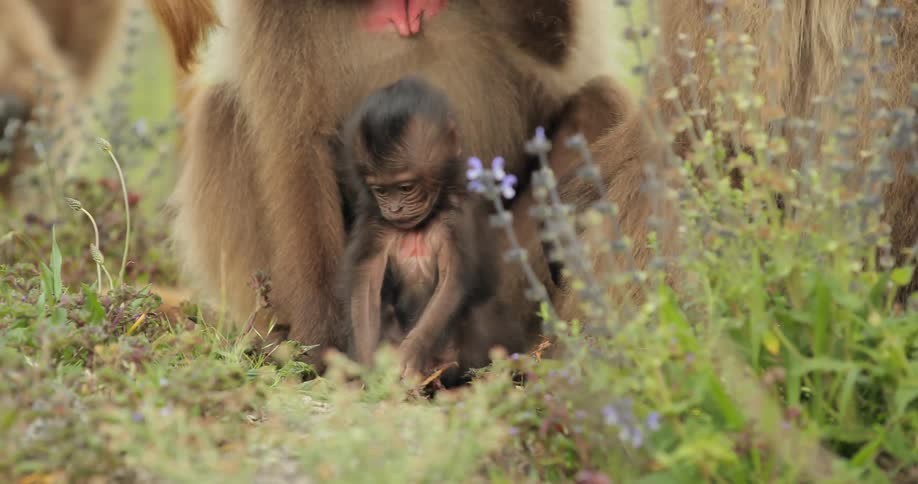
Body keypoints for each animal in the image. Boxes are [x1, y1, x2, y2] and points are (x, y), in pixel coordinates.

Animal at [337, 77, 527, 381]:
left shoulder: (459, 215)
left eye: (405, 187)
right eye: (380, 190)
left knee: (481, 310)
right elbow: (366, 280)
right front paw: (368, 366)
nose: (395, 210)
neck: (425, 219)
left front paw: (412, 350)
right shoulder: (374, 221)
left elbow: (454, 278)